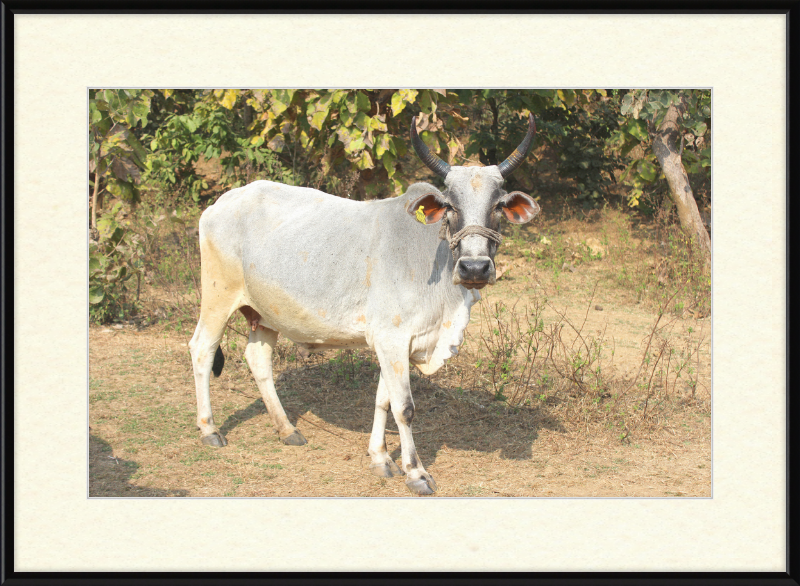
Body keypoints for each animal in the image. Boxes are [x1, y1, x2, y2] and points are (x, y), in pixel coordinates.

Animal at [188, 115, 540, 492]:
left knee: (258, 360)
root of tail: (220, 203)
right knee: (202, 349)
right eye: (450, 206)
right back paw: (209, 429)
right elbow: (404, 408)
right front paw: (415, 472)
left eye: (498, 206)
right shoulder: (392, 339)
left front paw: (380, 458)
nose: (475, 268)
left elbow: (383, 400)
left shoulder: (396, 343)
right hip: (217, 297)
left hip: (266, 314)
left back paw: (287, 429)